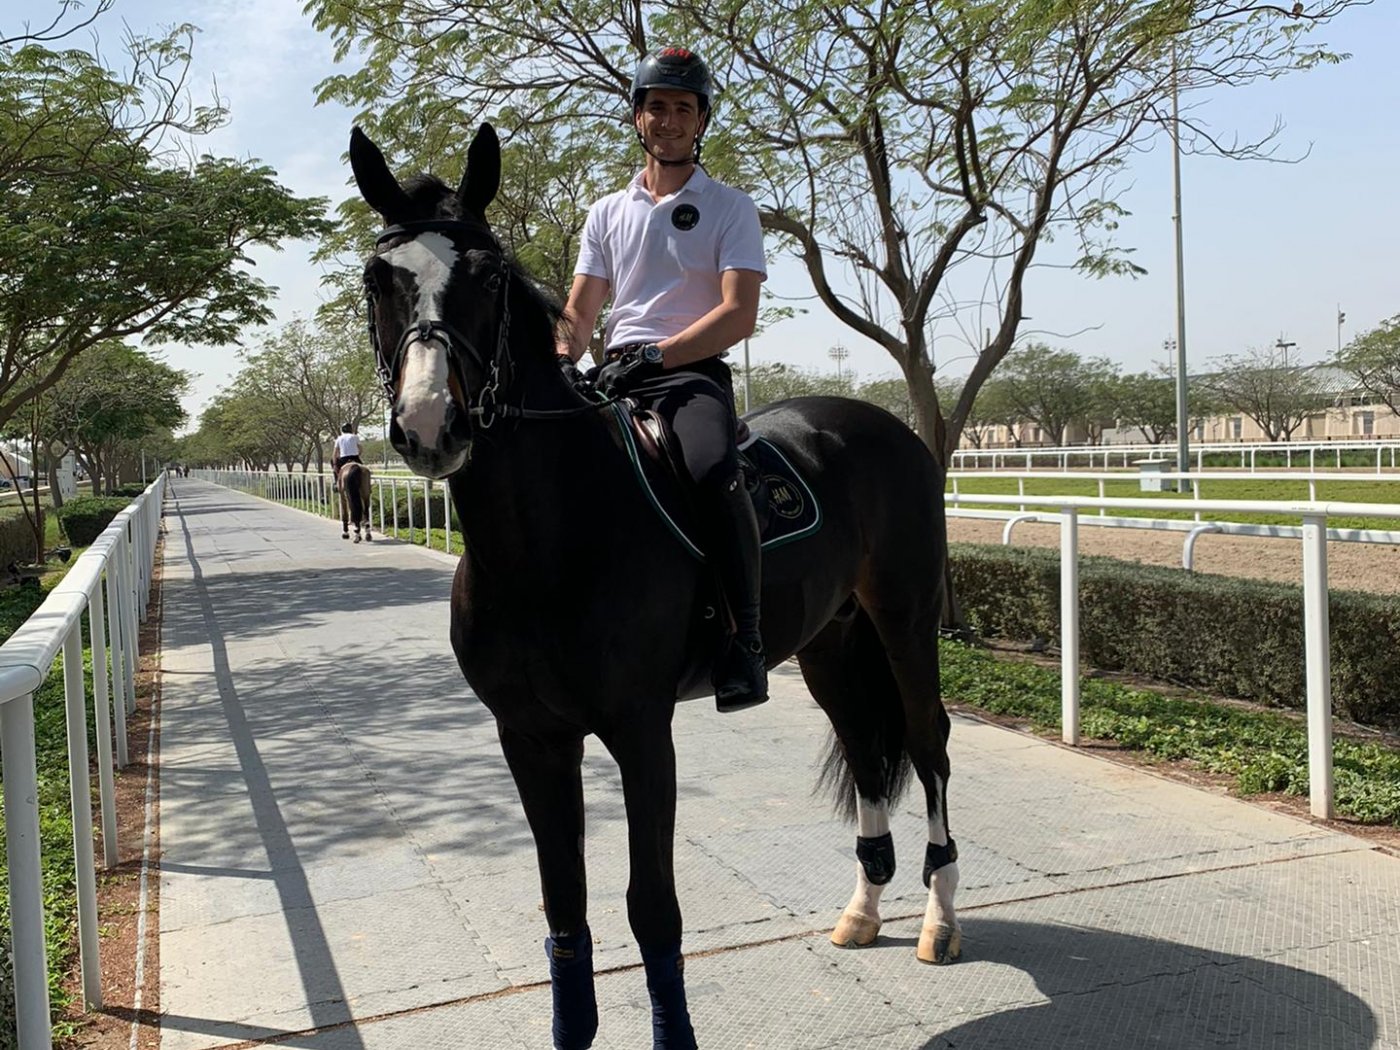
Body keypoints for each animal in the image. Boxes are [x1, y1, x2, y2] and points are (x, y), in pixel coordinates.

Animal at [350, 125, 963, 1050]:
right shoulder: (529, 737)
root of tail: (876, 424)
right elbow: (564, 903)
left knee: (927, 745)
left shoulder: (642, 731)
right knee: (865, 748)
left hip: (904, 621)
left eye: (488, 277)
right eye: (376, 278)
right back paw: (863, 910)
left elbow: (652, 908)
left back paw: (939, 918)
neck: (547, 544)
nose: (429, 425)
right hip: (829, 643)